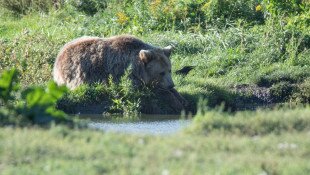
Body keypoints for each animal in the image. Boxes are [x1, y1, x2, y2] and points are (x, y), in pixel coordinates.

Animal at [53, 34, 186, 113]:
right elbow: (149, 89)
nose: (171, 84)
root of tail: (58, 57)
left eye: (169, 70)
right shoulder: (124, 74)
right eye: (161, 72)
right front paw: (175, 102)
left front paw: (181, 98)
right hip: (78, 74)